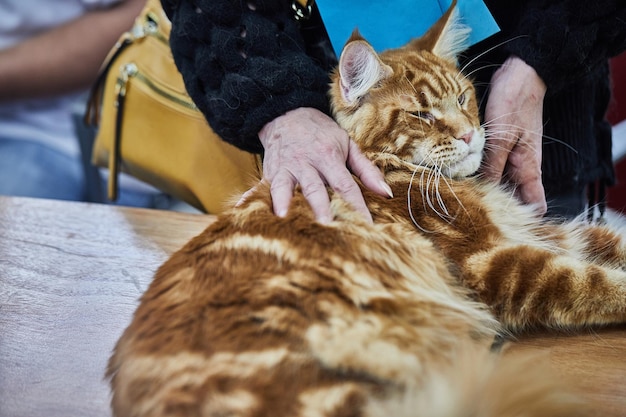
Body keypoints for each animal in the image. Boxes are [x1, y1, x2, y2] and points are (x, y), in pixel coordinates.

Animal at [107, 4, 624, 416]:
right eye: (421, 115)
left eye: (462, 97)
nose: (468, 135)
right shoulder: (498, 260)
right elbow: (598, 283)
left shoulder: (538, 229)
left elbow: (612, 239)